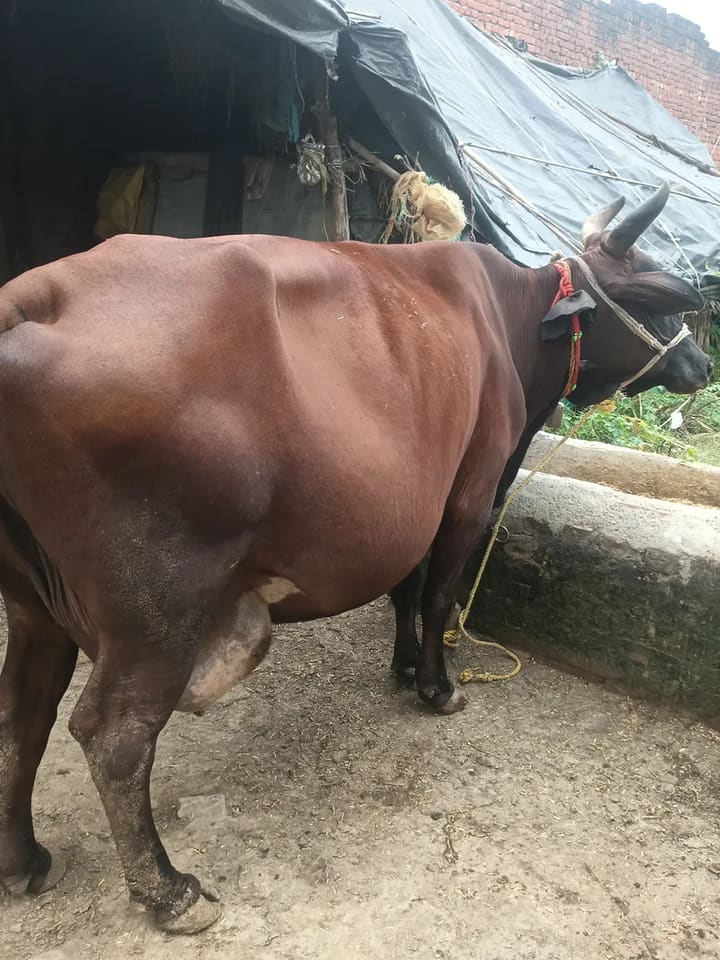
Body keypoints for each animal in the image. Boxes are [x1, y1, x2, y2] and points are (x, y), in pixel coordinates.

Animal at [0, 183, 711, 932]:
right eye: (651, 298)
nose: (701, 366)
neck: (510, 321)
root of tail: (34, 296)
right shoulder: (469, 492)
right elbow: (437, 596)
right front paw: (437, 686)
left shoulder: (416, 504)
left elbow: (406, 590)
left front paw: (402, 668)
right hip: (156, 612)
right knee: (113, 736)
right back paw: (168, 890)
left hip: (33, 601)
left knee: (23, 712)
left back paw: (23, 859)